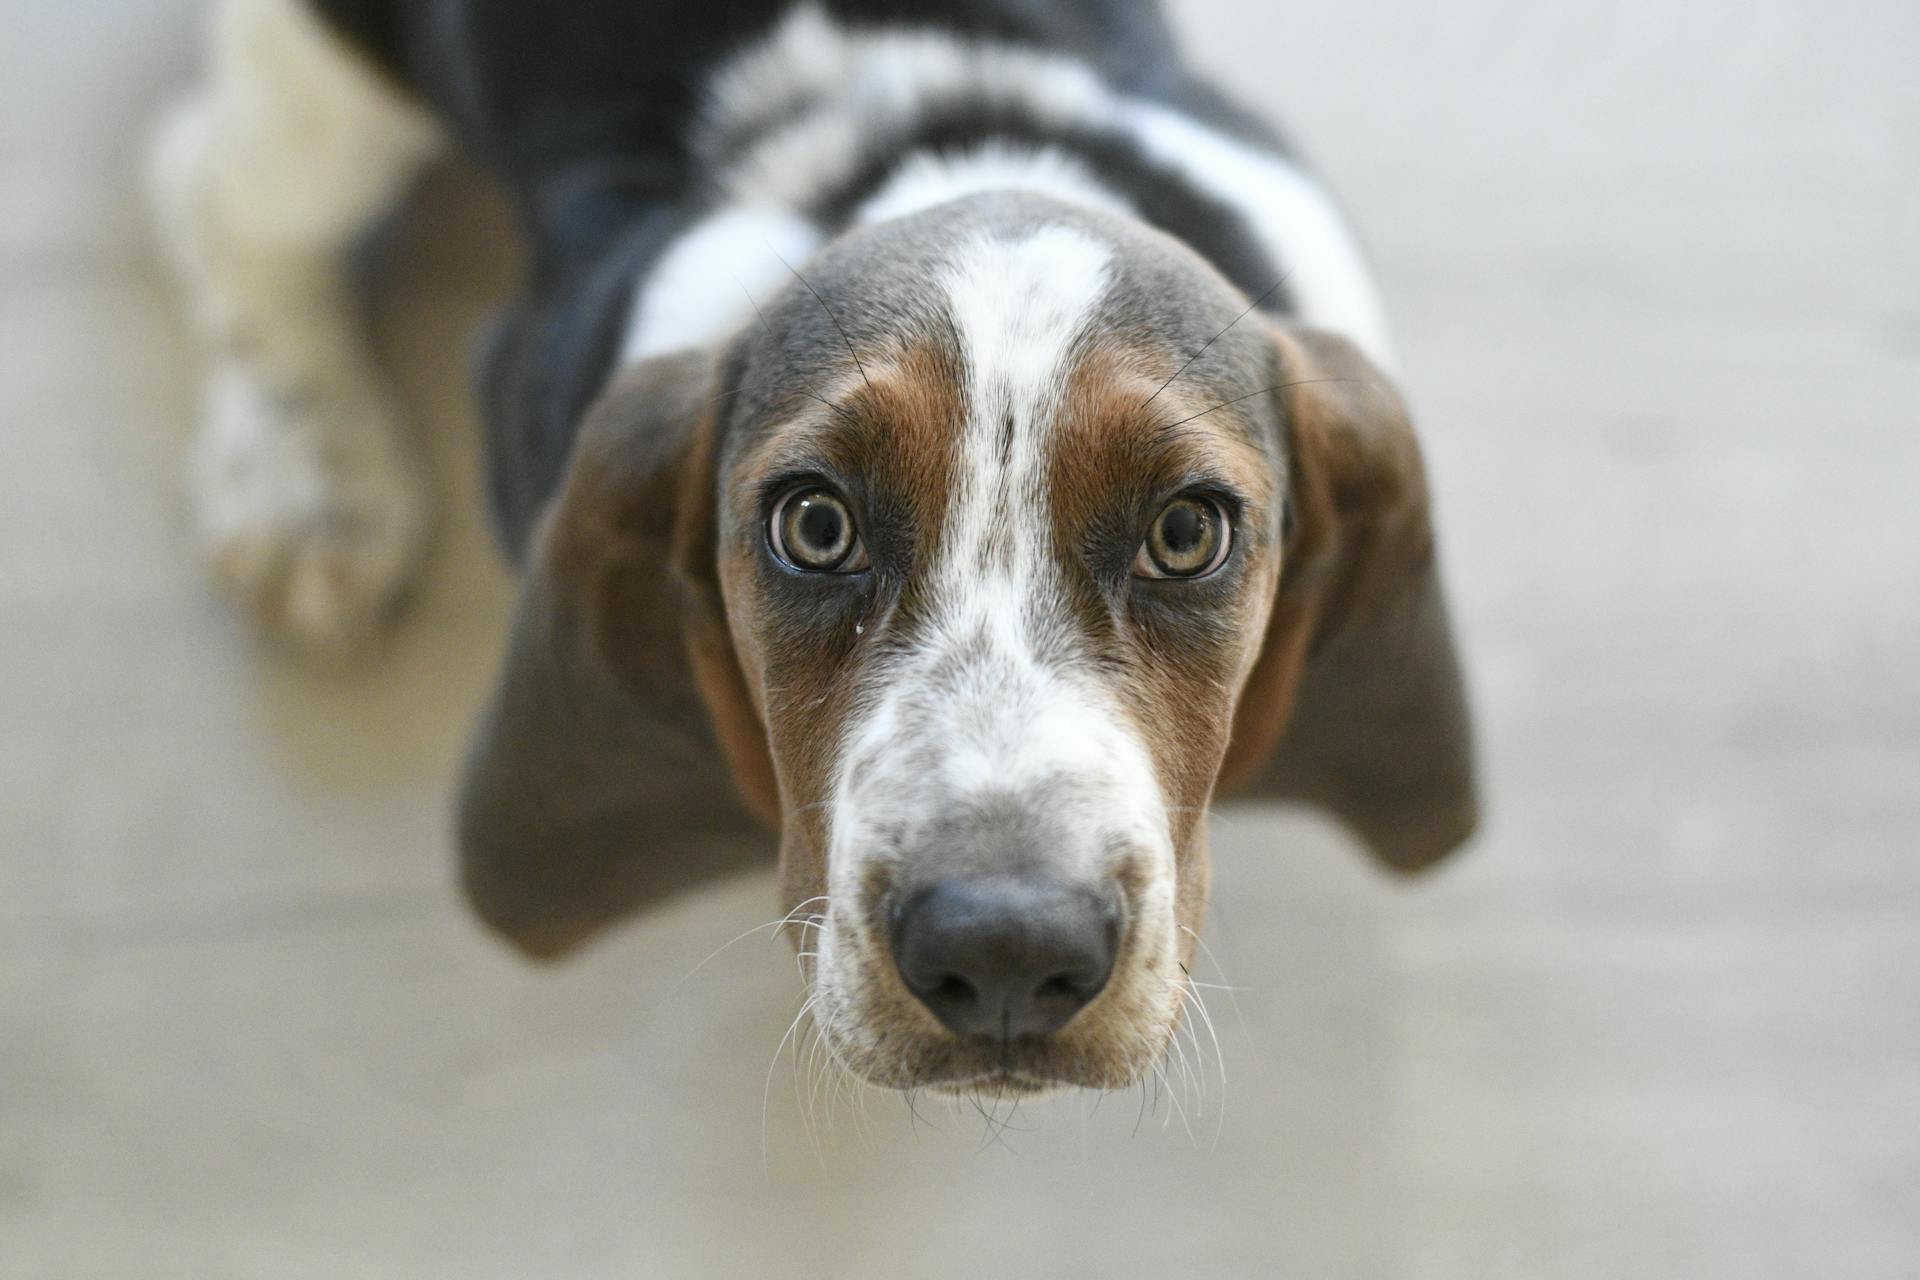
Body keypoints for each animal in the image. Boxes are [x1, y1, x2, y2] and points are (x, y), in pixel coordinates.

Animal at [157, 0, 1482, 1105]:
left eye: (1187, 531)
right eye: (815, 523)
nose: (1005, 949)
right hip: (327, 93)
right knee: (210, 188)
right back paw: (308, 485)